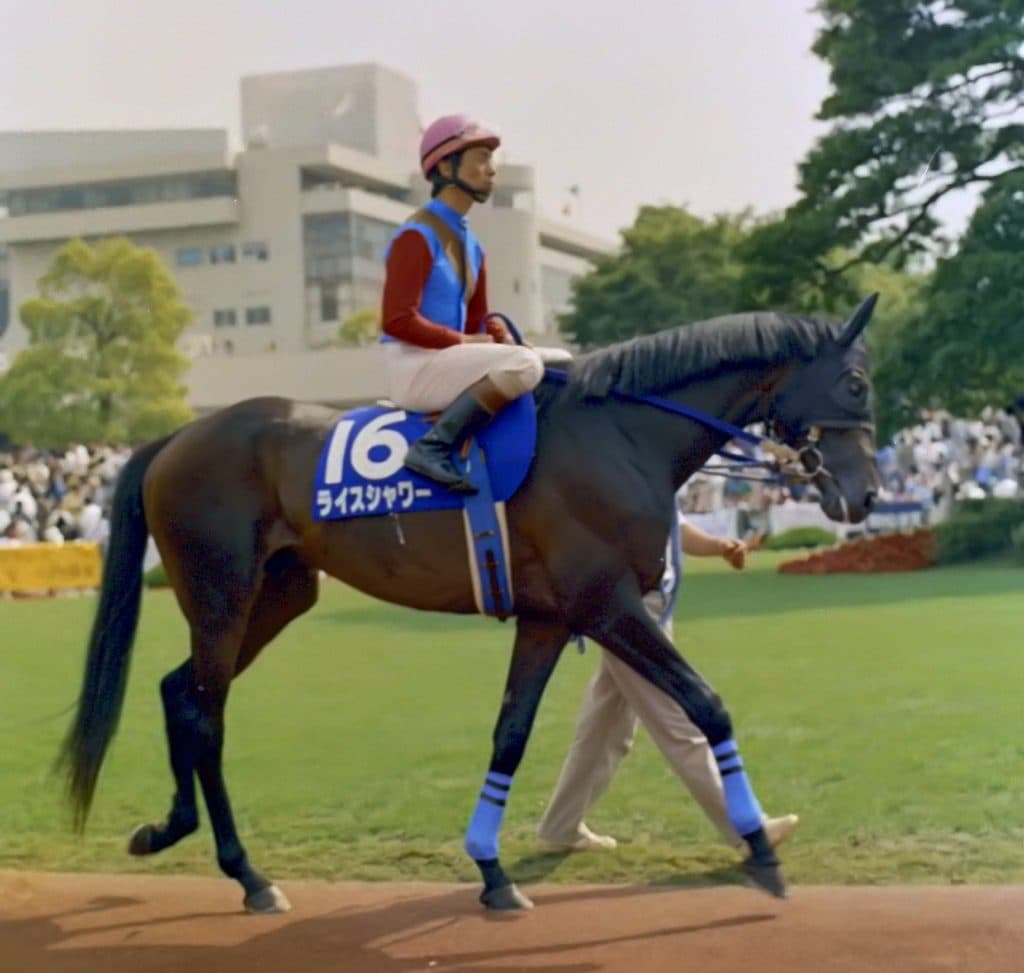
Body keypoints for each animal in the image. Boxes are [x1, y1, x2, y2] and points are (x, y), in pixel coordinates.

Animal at [58, 298, 881, 914]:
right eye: (856, 384)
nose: (869, 493)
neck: (618, 432)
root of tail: (175, 437)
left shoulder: (551, 617)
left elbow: (510, 734)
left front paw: (490, 870)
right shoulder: (609, 604)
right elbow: (707, 704)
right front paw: (762, 849)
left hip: (277, 594)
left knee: (182, 693)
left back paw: (172, 831)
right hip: (223, 596)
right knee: (204, 711)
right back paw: (248, 874)